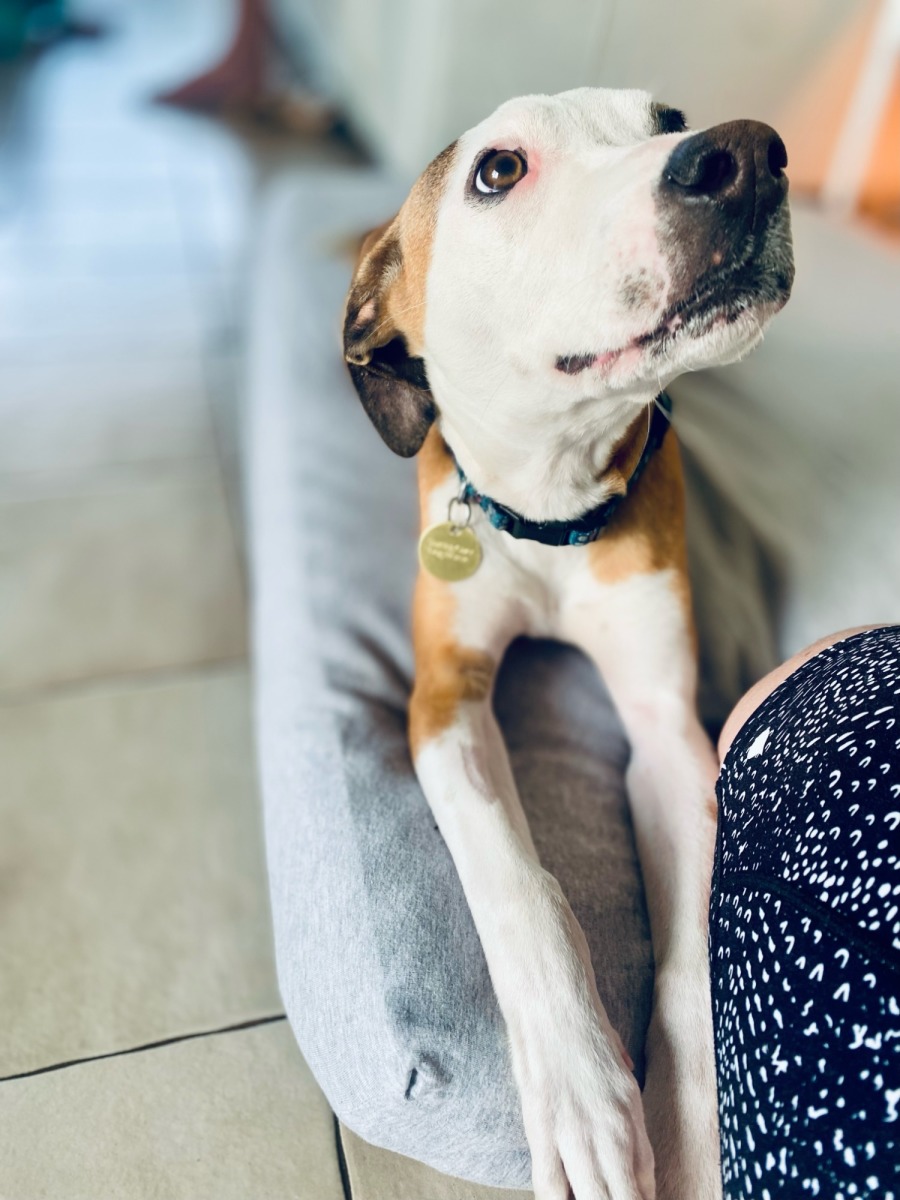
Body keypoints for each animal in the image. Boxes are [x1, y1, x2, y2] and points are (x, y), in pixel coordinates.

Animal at [342, 87, 794, 1200]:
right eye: (498, 171)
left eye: (666, 118)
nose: (745, 155)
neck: (550, 498)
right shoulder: (442, 700)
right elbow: (518, 882)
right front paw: (584, 1097)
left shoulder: (666, 726)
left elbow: (689, 949)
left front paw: (689, 1128)